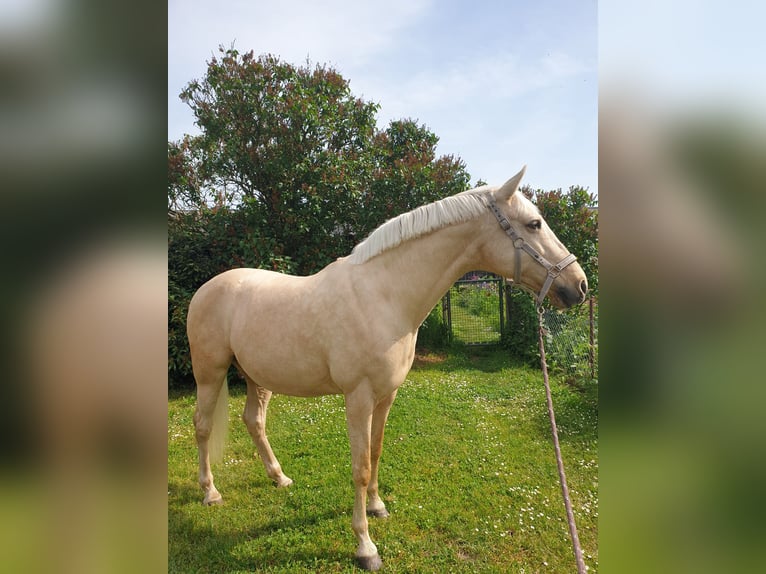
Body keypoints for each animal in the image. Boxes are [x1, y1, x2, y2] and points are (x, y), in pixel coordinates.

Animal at [188, 166, 588, 572]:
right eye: (534, 224)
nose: (579, 285)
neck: (383, 296)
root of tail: (205, 289)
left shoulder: (386, 395)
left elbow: (377, 450)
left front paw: (378, 507)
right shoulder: (358, 398)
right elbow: (361, 467)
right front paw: (365, 546)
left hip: (257, 377)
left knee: (254, 420)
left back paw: (280, 477)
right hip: (209, 373)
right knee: (202, 426)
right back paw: (210, 492)